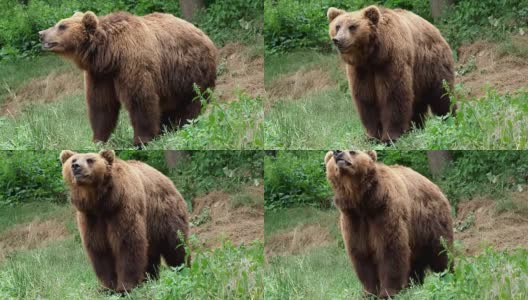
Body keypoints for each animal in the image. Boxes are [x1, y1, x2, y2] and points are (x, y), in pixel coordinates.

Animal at [38, 12, 217, 146]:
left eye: (62, 26)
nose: (41, 34)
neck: (111, 55)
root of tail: (205, 35)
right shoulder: (100, 75)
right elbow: (101, 106)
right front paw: (97, 140)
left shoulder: (132, 64)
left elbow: (140, 99)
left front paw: (142, 139)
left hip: (191, 73)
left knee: (192, 102)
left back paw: (181, 125)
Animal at [60, 149, 189, 292]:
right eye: (73, 160)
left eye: (90, 160)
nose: (76, 166)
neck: (102, 203)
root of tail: (167, 179)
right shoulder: (91, 218)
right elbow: (99, 248)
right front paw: (106, 287)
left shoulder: (122, 208)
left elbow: (127, 244)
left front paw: (125, 287)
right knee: (151, 252)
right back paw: (149, 279)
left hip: (165, 213)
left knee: (176, 244)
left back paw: (182, 270)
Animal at [326, 6, 454, 142]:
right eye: (337, 26)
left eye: (352, 26)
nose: (337, 40)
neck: (372, 57)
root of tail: (435, 29)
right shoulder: (361, 71)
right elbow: (366, 99)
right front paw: (371, 136)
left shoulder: (390, 61)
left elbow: (393, 97)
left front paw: (390, 137)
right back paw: (415, 128)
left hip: (432, 65)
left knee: (442, 94)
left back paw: (449, 118)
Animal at [326, 150, 454, 298]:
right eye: (332, 156)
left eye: (353, 151)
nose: (338, 152)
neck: (362, 202)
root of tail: (434, 185)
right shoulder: (354, 220)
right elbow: (361, 253)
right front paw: (369, 292)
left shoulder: (384, 212)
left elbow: (390, 250)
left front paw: (388, 292)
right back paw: (412, 284)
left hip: (431, 221)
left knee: (441, 250)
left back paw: (446, 275)